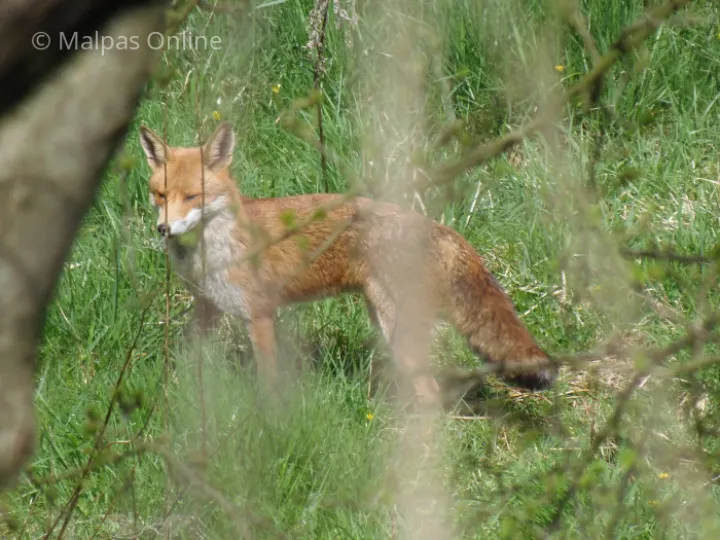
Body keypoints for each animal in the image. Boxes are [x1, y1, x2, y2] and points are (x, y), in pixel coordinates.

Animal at [138, 121, 557, 405]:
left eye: (192, 197)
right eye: (160, 194)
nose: (164, 229)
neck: (212, 250)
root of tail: (435, 225)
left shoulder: (259, 314)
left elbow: (269, 383)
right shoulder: (207, 308)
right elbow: (187, 363)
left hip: (397, 332)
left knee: (430, 394)